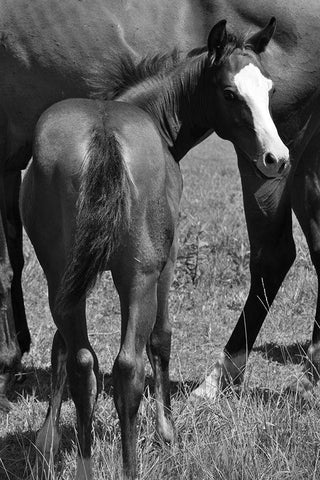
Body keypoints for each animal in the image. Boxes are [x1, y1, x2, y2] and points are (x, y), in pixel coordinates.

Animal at [20, 18, 288, 480]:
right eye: (230, 93)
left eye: (269, 90)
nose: (277, 158)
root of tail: (103, 133)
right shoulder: (168, 260)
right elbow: (161, 339)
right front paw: (167, 433)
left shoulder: (73, 278)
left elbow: (59, 348)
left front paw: (47, 439)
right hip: (139, 275)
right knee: (128, 366)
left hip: (62, 274)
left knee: (83, 361)